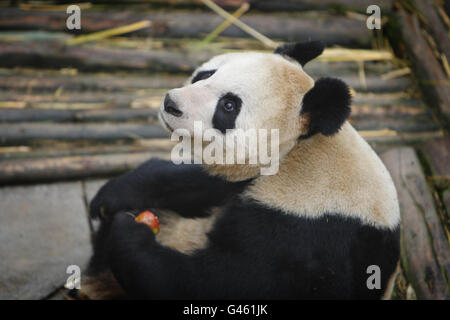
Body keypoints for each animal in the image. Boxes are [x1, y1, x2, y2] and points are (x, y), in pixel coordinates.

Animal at [78, 40, 400, 300]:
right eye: (207, 74)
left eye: (229, 105)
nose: (171, 103)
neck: (298, 151)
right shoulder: (242, 181)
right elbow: (191, 181)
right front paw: (109, 199)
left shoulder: (304, 234)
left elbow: (219, 282)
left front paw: (128, 230)